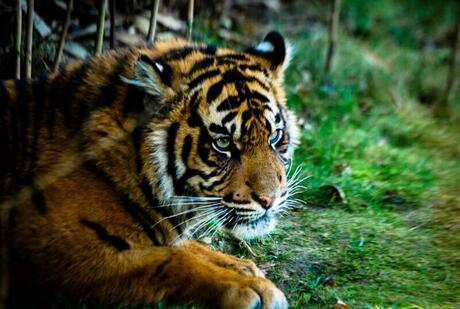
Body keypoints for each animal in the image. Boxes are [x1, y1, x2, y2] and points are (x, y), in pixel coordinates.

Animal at [0, 31, 300, 308]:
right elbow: (170, 260)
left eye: (275, 137)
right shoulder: (65, 253)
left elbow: (188, 247)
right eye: (223, 143)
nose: (270, 200)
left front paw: (244, 268)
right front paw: (248, 287)